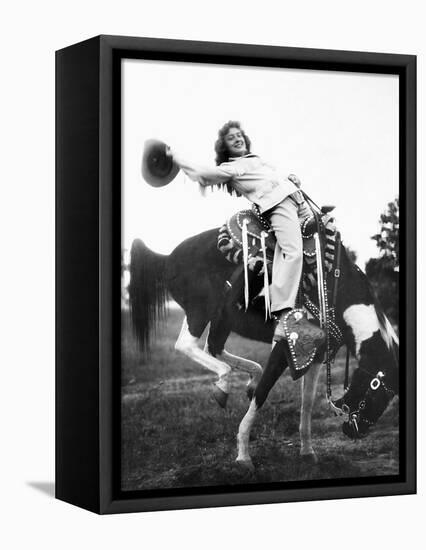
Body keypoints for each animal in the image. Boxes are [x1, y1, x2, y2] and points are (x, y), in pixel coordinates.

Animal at [127, 220, 400, 470]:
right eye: (378, 389)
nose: (356, 432)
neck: (333, 289)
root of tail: (168, 258)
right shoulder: (284, 348)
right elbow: (263, 393)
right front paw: (243, 455)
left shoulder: (317, 355)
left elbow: (307, 404)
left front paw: (307, 452)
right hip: (200, 311)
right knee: (186, 345)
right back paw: (224, 385)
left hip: (219, 319)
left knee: (212, 348)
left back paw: (244, 377)